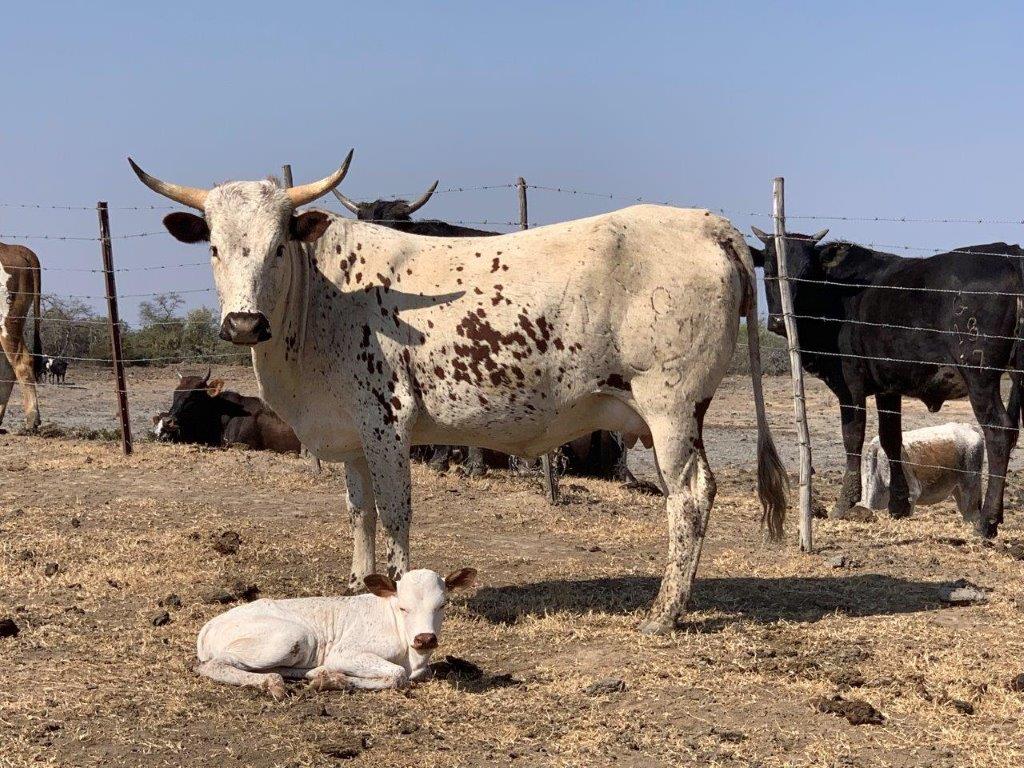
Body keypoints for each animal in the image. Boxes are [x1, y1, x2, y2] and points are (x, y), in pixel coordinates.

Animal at [197, 567, 476, 699]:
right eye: (403, 607)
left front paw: (329, 678)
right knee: (213, 666)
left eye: (442, 605)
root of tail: (210, 626)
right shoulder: (344, 653)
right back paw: (272, 683)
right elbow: (397, 675)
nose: (425, 638)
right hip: (292, 637)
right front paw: (335, 680)